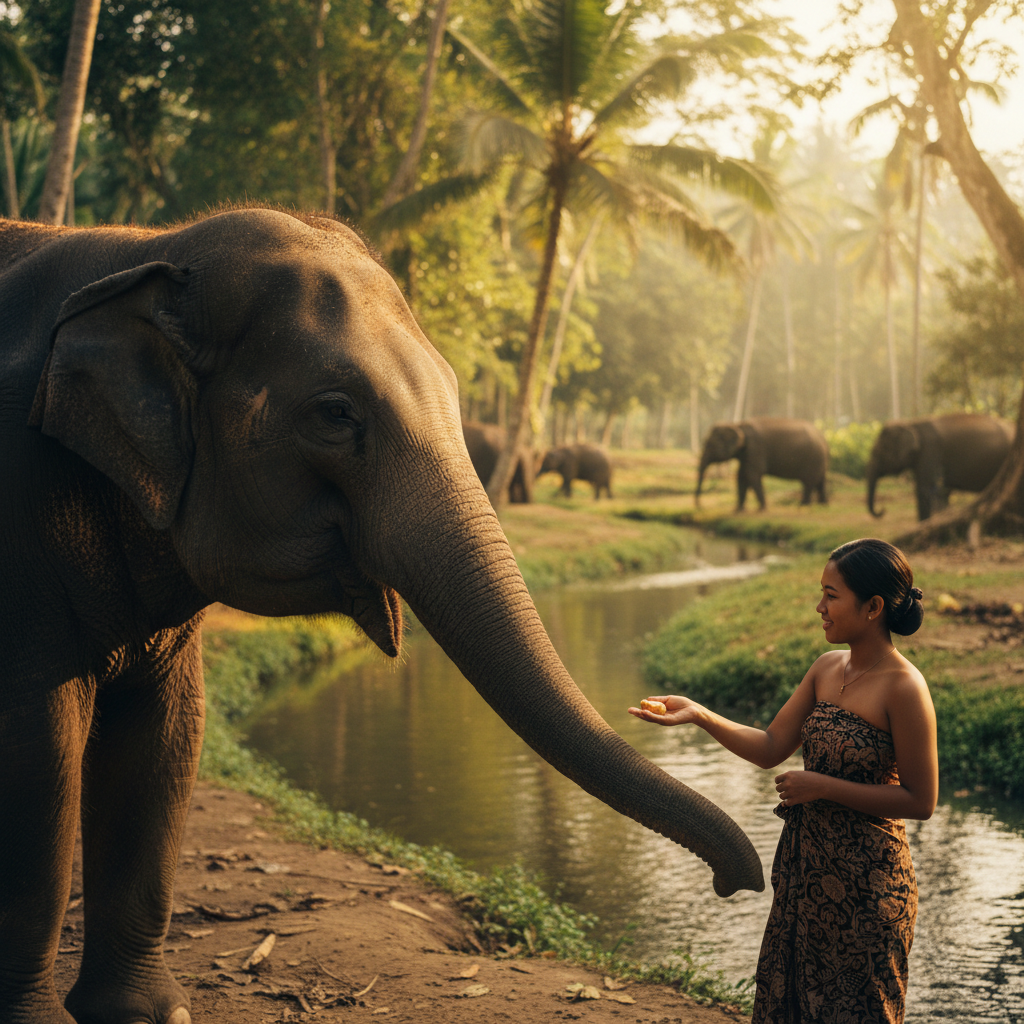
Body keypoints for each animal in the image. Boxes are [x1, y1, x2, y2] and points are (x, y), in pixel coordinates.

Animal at [0, 209, 763, 1024]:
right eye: (336, 414)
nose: (738, 884)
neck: (149, 248)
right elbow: (39, 755)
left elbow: (167, 735)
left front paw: (149, 1016)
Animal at [696, 417, 829, 511]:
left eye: (709, 445)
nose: (701, 507)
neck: (738, 425)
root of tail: (823, 437)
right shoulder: (747, 454)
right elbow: (741, 476)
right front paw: (738, 510)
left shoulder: (755, 449)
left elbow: (752, 475)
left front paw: (762, 508)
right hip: (819, 461)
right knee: (820, 482)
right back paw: (823, 505)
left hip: (813, 459)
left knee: (809, 482)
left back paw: (803, 505)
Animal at [866, 412, 1015, 521]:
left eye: (878, 453)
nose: (883, 510)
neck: (911, 423)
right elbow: (940, 491)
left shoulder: (930, 452)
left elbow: (924, 489)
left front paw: (924, 523)